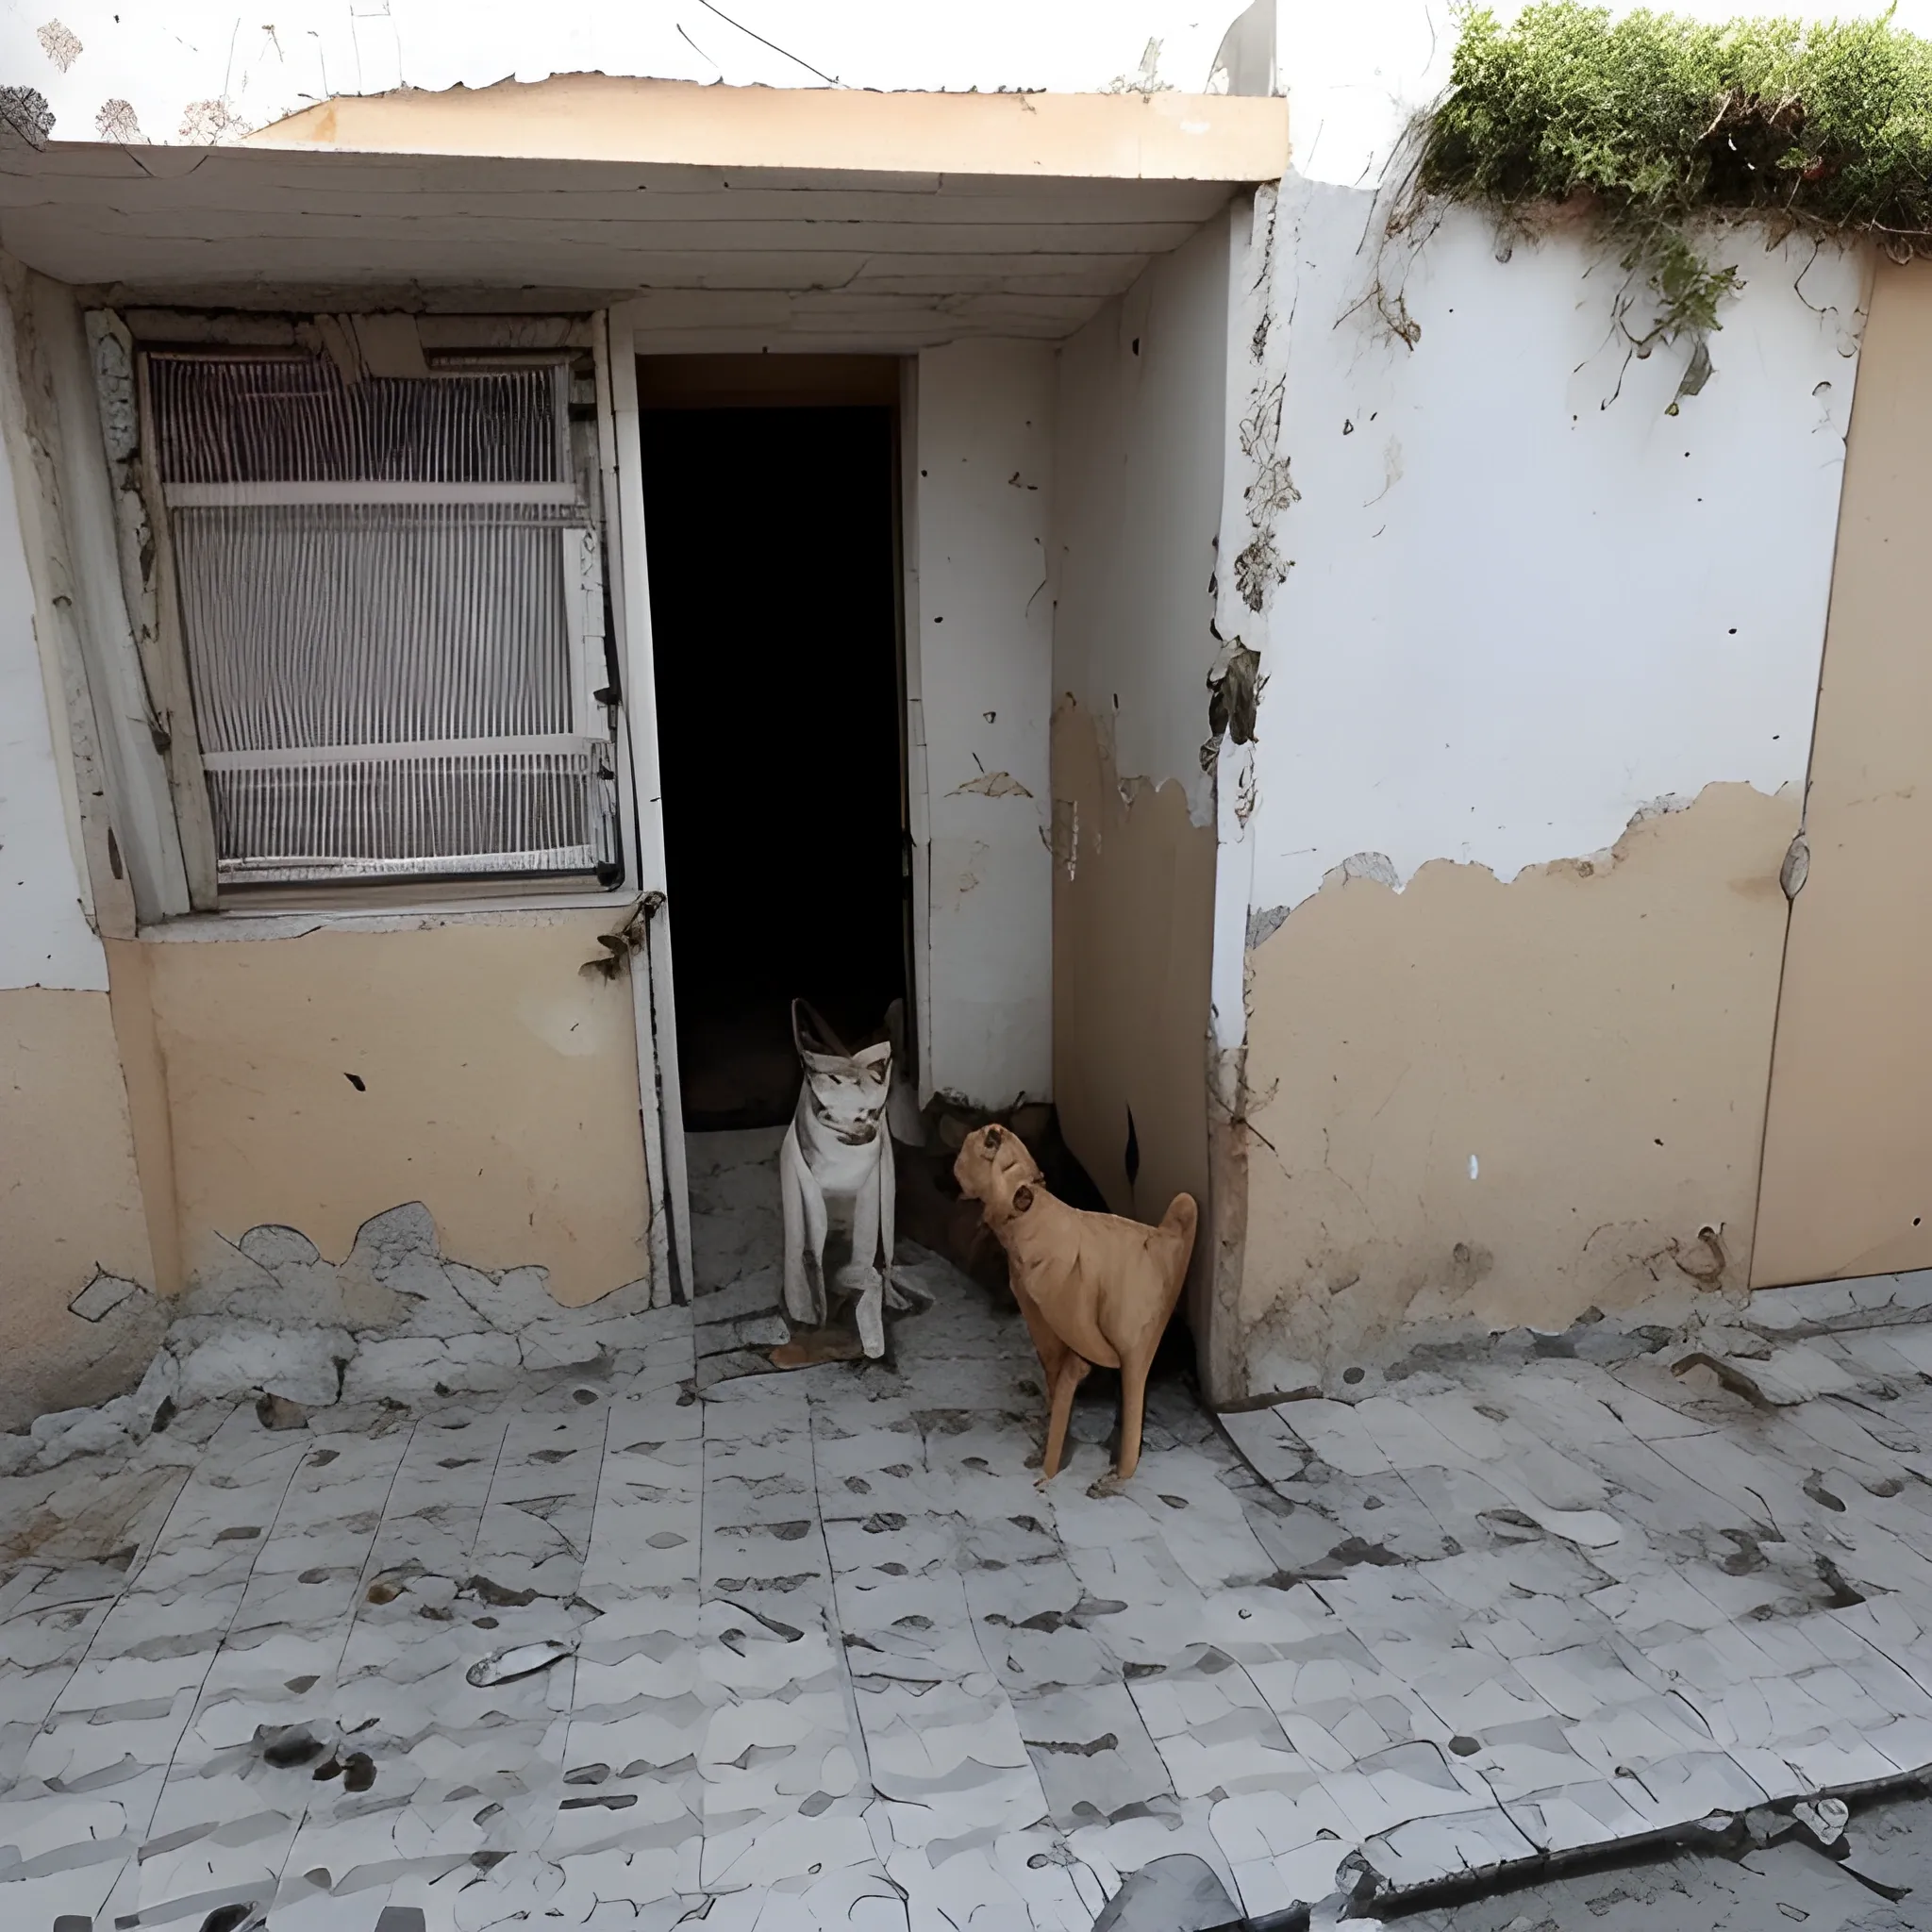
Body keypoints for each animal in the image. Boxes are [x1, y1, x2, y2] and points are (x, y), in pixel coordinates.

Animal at [950, 1128, 1190, 1483]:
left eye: (989, 1147)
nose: (992, 1130)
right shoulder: (1043, 1322)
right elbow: (1057, 1377)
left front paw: (1051, 1467)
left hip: (1132, 1341)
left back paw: (1117, 1472)